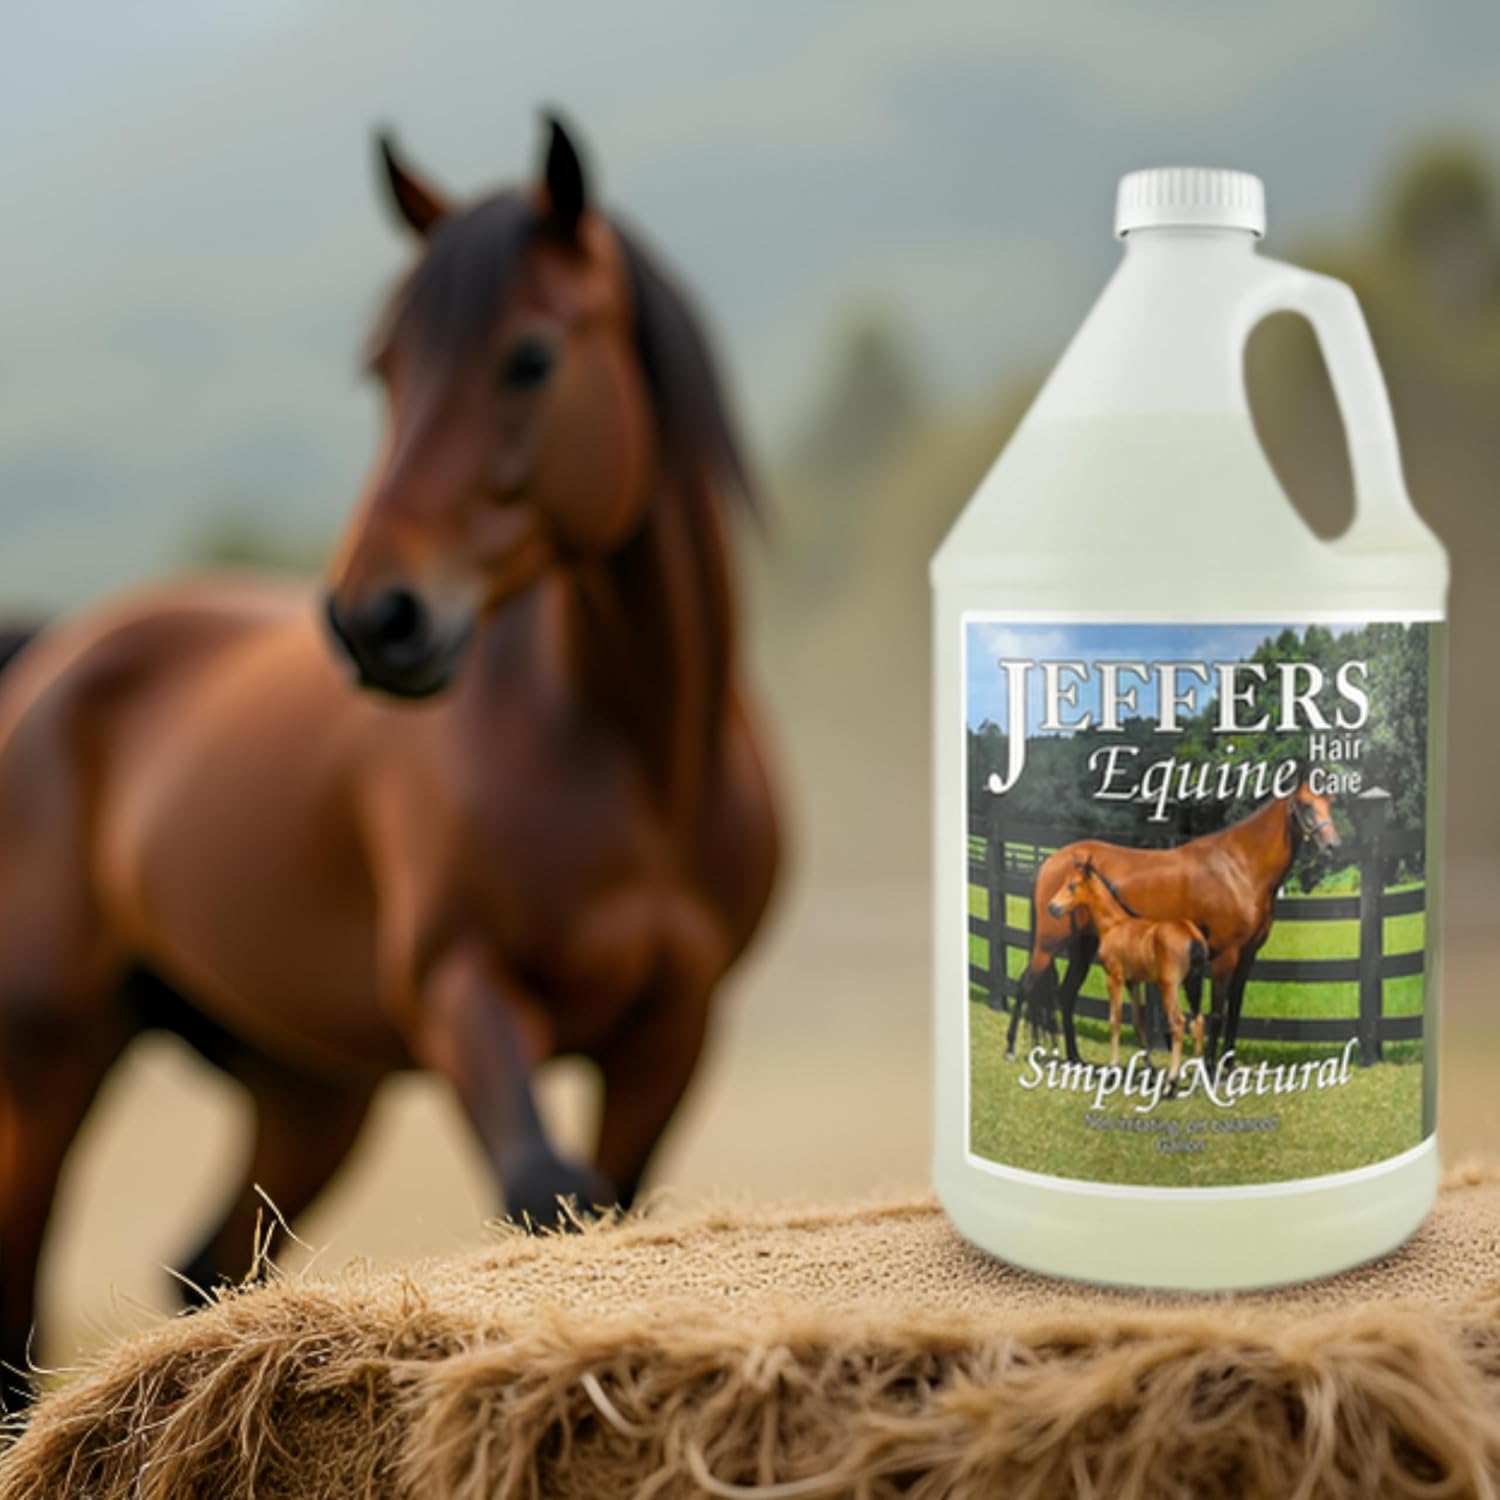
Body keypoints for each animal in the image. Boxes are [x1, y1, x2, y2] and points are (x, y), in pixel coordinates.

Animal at [0, 116, 779, 1406]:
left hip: (309, 1090)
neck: (630, 755)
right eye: (386, 370)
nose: (376, 620)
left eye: (528, 358)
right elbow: (543, 1192)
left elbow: (611, 1206)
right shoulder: (462, 988)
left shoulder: (675, 1022)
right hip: (51, 1065)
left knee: (205, 1267)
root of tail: (54, 658)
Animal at [1046, 858, 1208, 1088]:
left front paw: (1112, 1070)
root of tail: (1192, 936)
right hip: (1193, 983)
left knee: (1178, 1023)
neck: (1114, 924)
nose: (1053, 907)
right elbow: (1137, 1021)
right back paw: (1197, 1081)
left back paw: (1171, 1082)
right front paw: (1149, 1071)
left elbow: (1115, 1019)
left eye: (1072, 885)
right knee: (1198, 1022)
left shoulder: (1115, 978)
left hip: (1169, 985)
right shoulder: (1134, 981)